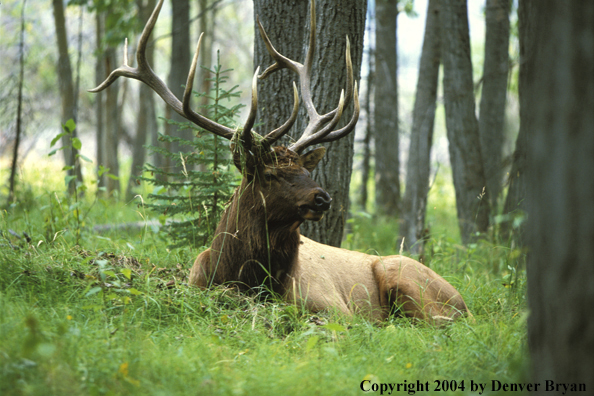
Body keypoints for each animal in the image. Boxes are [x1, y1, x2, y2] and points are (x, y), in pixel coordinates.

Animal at [91, 0, 468, 324]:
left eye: (304, 169)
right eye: (271, 174)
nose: (323, 198)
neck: (239, 275)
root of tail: (465, 302)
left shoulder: (336, 309)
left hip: (406, 278)